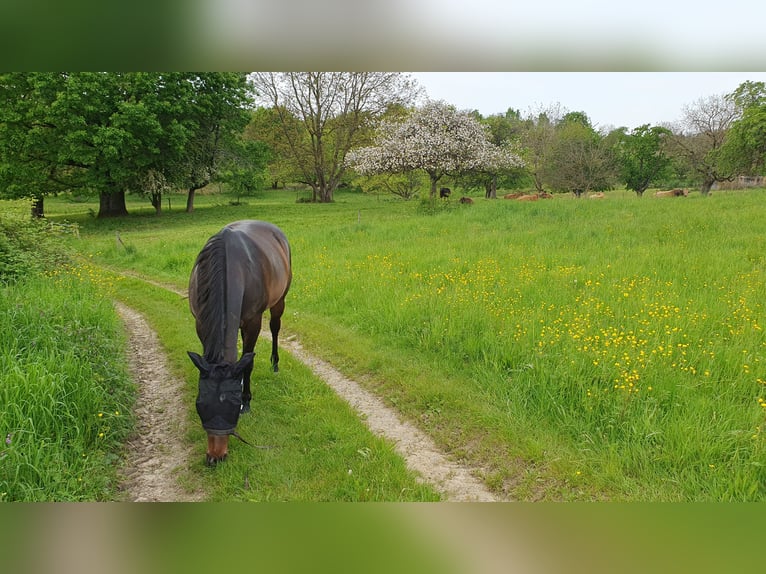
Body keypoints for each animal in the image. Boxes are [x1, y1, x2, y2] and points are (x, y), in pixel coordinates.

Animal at [187, 220, 292, 466]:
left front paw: (247, 401)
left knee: (275, 328)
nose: (215, 457)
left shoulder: (254, 321)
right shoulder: (201, 323)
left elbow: (249, 362)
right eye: (200, 405)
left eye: (233, 409)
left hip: (279, 301)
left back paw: (274, 363)